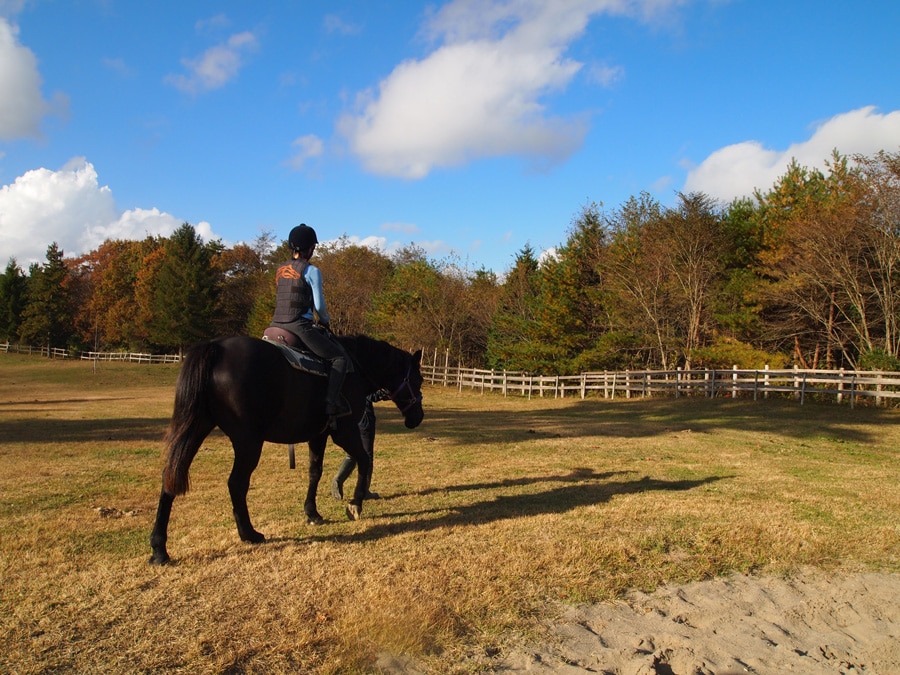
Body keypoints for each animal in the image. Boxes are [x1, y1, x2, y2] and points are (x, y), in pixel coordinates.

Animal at [149, 334, 424, 564]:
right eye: (419, 379)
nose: (418, 418)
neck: (355, 367)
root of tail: (216, 346)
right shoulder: (343, 432)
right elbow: (364, 459)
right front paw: (355, 504)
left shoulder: (319, 434)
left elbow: (315, 472)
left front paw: (312, 513)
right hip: (248, 442)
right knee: (236, 483)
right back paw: (249, 533)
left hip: (196, 428)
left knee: (170, 477)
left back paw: (159, 548)